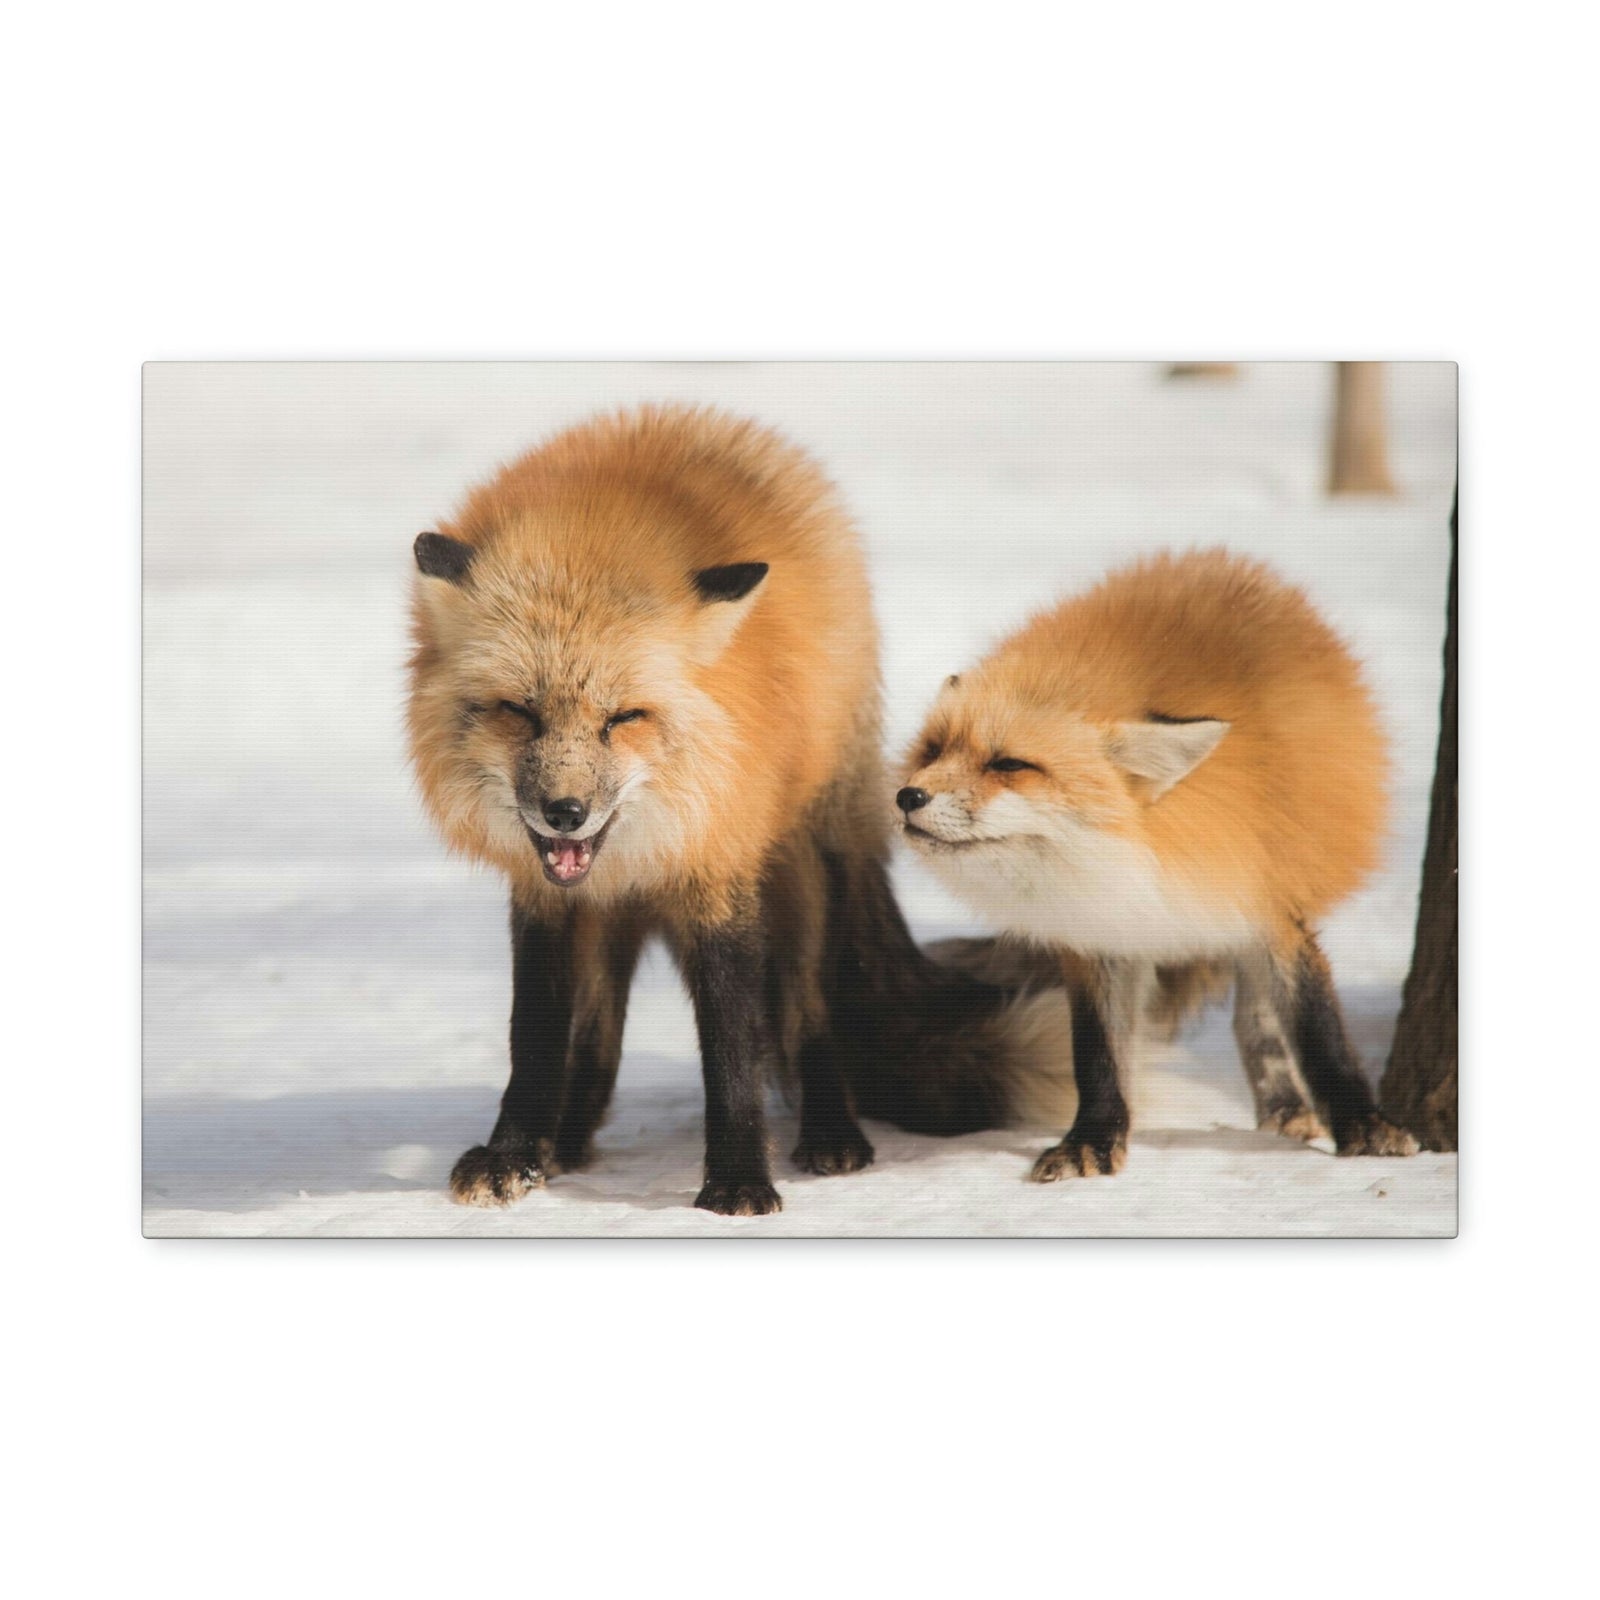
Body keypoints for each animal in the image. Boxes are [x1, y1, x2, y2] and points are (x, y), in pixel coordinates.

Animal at [407, 404, 1075, 1216]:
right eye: (519, 712)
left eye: (623, 718)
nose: (565, 811)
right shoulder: (546, 900)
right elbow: (533, 1037)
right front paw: (515, 1157)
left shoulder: (718, 874)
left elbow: (733, 1044)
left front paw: (737, 1180)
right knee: (598, 1038)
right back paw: (566, 1142)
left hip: (800, 877)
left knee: (810, 1015)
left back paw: (832, 1133)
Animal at [896, 547, 1421, 1183]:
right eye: (933, 751)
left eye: (1009, 764)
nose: (907, 797)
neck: (1145, 860)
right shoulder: (1101, 937)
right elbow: (1097, 1056)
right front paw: (1093, 1141)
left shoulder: (1269, 904)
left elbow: (1318, 1032)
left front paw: (1363, 1124)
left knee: (1256, 1018)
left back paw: (1285, 1105)